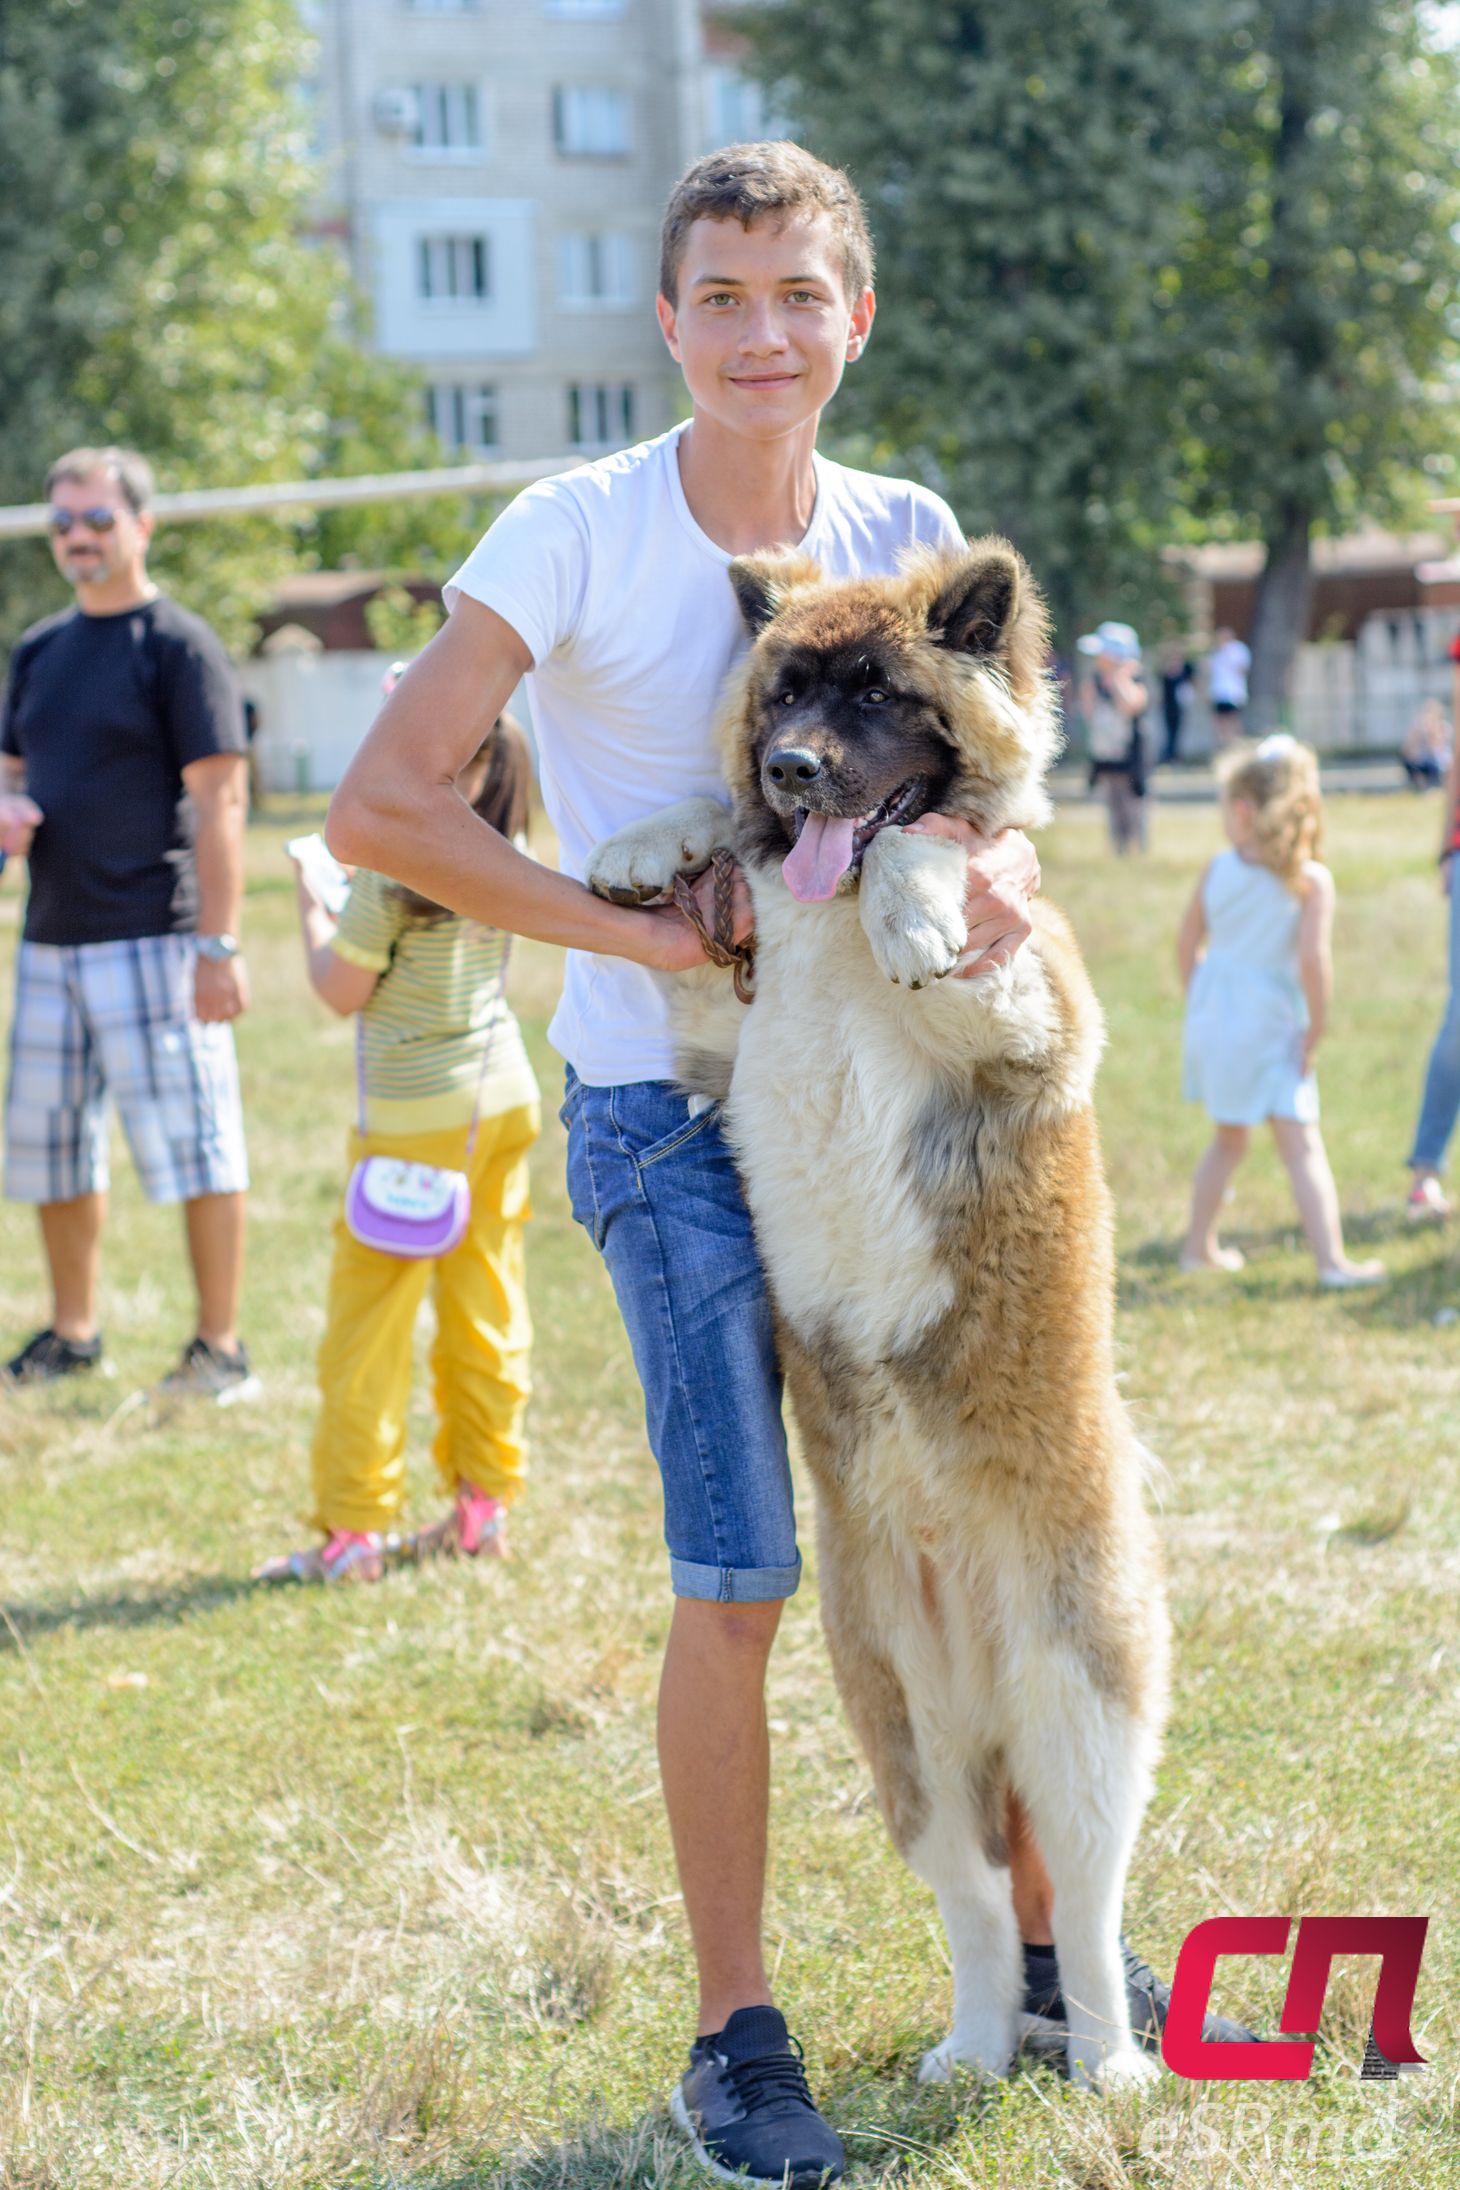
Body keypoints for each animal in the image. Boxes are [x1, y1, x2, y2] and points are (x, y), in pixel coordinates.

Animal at [586, 538, 1173, 2076]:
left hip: (1080, 1700)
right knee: (976, 1904)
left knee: (1082, 1889)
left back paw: (1110, 2065)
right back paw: (975, 2048)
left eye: (875, 694)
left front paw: (912, 899)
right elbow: (714, 874)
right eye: (783, 694)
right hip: (900, 1720)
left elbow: (936, 857)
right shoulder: (715, 1034)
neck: (823, 919)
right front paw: (657, 840)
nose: (793, 770)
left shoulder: (1024, 1013)